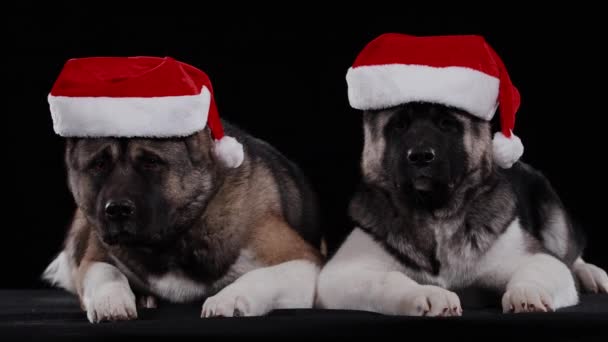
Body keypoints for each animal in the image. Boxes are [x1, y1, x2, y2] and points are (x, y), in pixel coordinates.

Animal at [316, 103, 608, 316]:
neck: (435, 214)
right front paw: (425, 293)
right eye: (399, 125)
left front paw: (527, 291)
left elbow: (540, 267)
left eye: (447, 124)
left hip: (552, 213)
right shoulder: (340, 275)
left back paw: (590, 273)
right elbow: (388, 279)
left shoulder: (539, 257)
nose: (420, 156)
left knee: (569, 252)